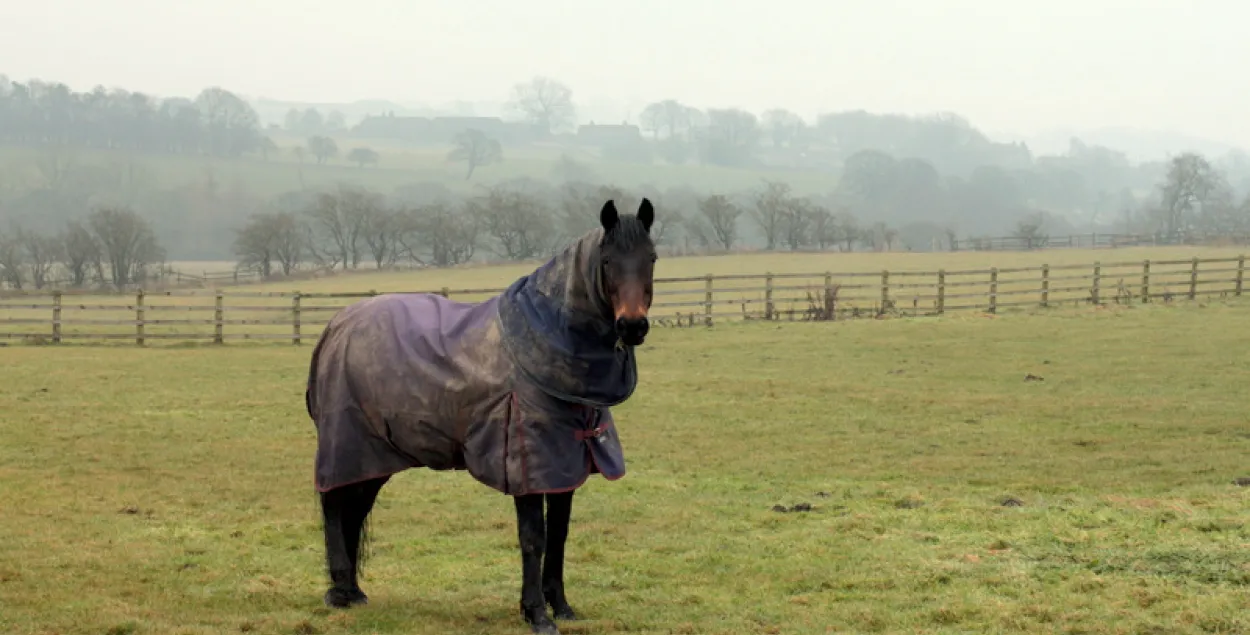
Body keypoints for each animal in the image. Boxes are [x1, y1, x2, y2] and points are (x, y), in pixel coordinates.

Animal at [305, 198, 655, 635]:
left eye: (651, 258)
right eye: (607, 261)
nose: (633, 325)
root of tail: (338, 325)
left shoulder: (566, 465)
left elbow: (559, 535)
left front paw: (561, 606)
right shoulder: (527, 467)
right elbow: (533, 538)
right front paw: (536, 613)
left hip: (376, 455)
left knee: (355, 509)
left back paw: (353, 591)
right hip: (346, 444)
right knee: (335, 506)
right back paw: (338, 592)